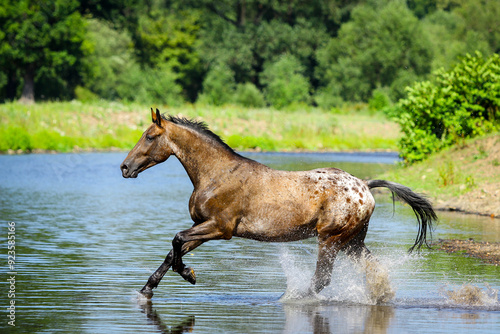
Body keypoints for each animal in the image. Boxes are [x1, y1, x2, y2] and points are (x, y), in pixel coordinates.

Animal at [121, 109, 438, 300]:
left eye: (149, 136)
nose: (125, 168)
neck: (216, 174)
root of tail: (365, 186)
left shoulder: (219, 228)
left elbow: (176, 241)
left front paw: (189, 275)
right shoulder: (202, 226)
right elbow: (172, 251)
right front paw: (147, 290)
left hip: (331, 240)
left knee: (322, 279)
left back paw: (292, 298)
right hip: (352, 241)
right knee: (375, 271)